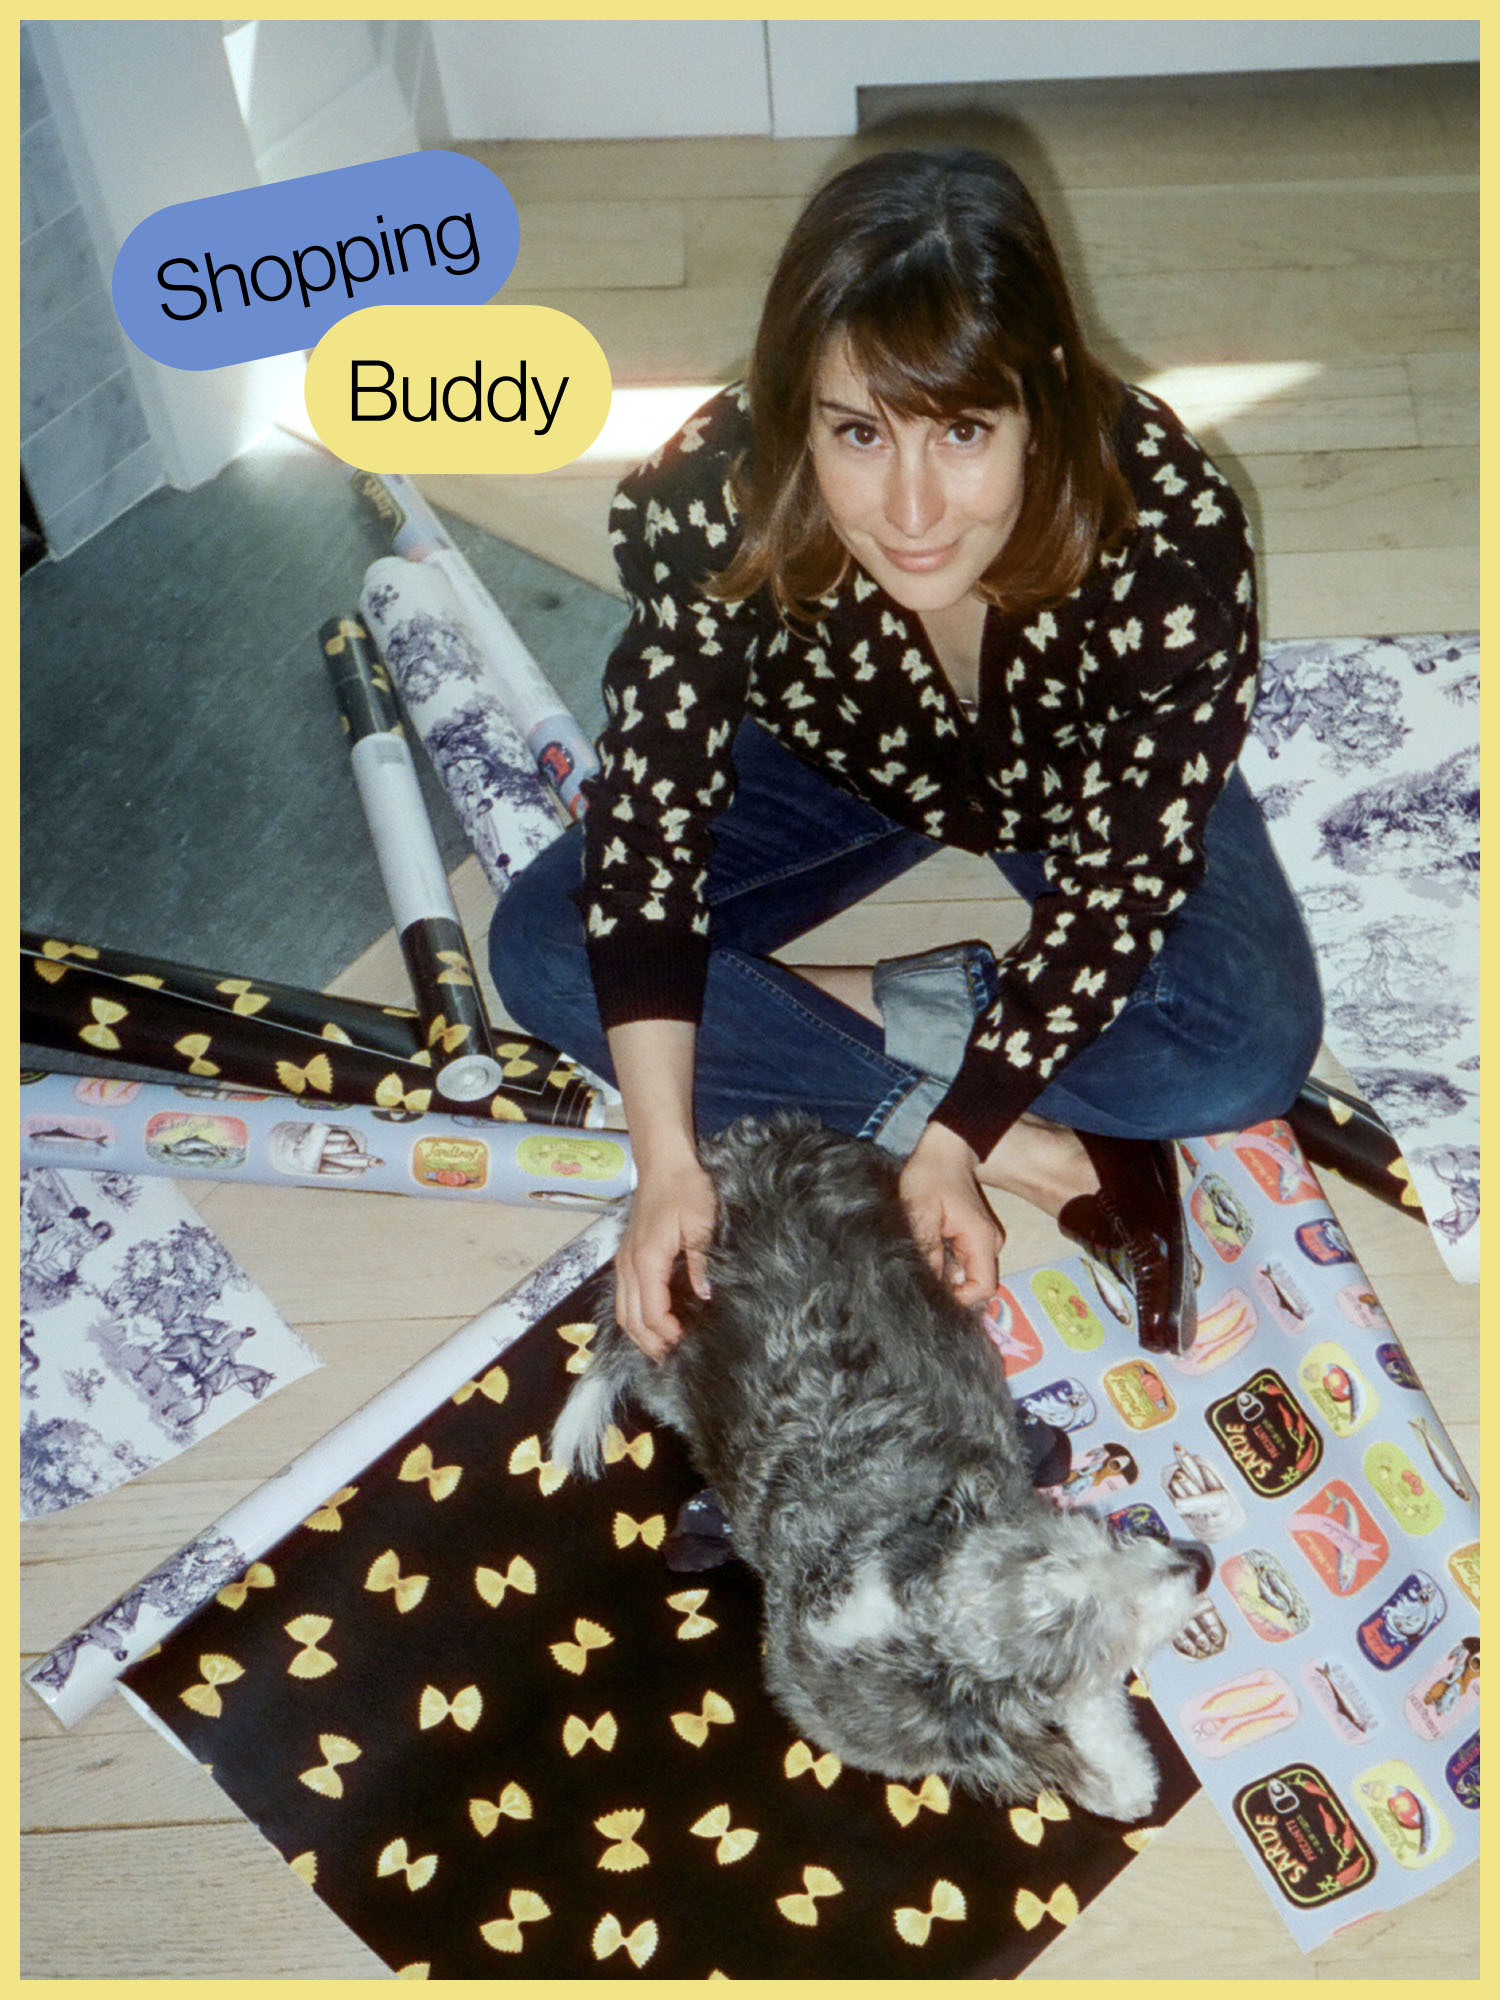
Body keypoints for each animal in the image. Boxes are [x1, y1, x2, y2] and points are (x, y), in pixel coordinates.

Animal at [552, 1120, 1208, 1824]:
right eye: (1111, 1627)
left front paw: (1125, 1775)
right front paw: (1118, 1782)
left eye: (1097, 1538)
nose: (1199, 1564)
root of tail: (739, 1145)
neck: (900, 1592)